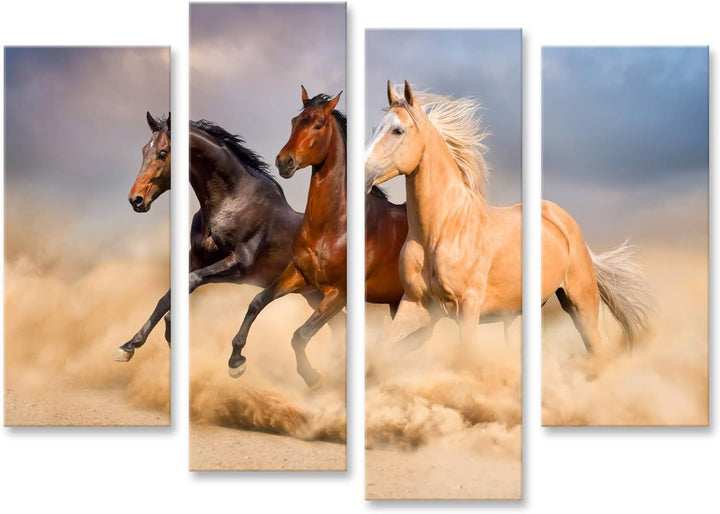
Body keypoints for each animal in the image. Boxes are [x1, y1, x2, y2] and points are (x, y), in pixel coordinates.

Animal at [116, 112, 340, 361]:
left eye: (163, 153)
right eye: (144, 150)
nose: (136, 199)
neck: (231, 202)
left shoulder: (238, 265)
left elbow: (192, 281)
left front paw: (170, 331)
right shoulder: (197, 259)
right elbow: (167, 296)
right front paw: (129, 346)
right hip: (314, 296)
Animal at [227, 86, 408, 389]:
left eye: (318, 124)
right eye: (294, 121)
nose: (284, 161)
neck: (332, 228)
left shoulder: (338, 294)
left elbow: (300, 335)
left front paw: (313, 378)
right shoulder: (300, 274)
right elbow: (257, 302)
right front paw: (236, 361)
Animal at [364, 80, 652, 354]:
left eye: (398, 130)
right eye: (375, 128)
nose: (363, 173)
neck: (442, 230)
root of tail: (565, 222)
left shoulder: (467, 307)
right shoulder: (415, 305)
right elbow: (382, 348)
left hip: (581, 303)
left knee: (597, 348)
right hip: (518, 315)